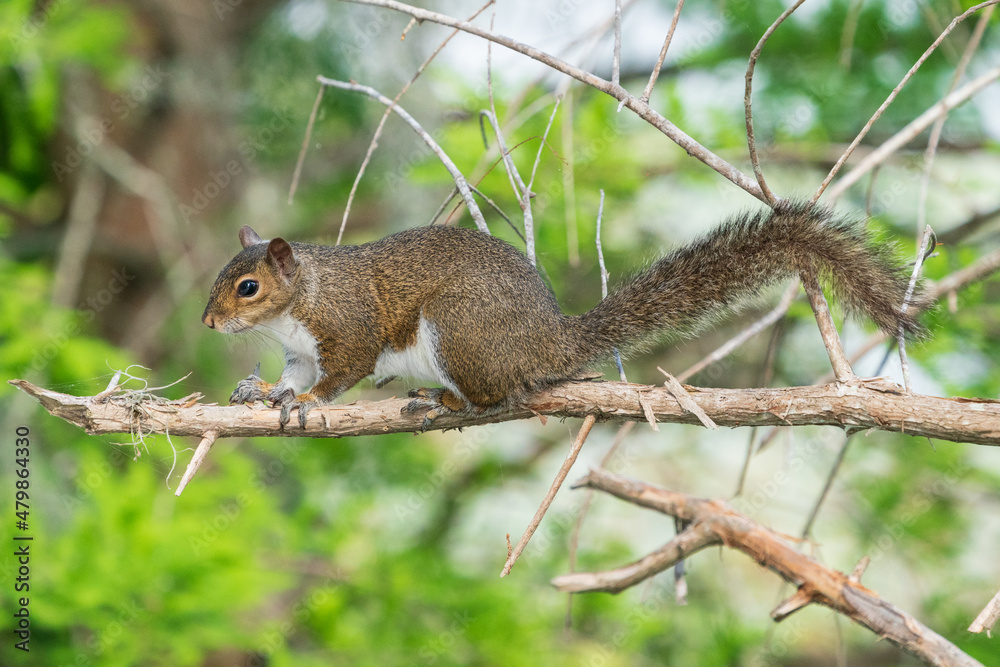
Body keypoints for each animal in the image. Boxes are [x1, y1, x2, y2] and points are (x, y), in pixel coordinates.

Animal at [199, 201, 924, 428]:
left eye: (248, 288)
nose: (207, 325)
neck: (304, 297)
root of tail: (551, 343)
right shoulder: (300, 348)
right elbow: (293, 373)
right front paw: (263, 391)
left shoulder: (348, 328)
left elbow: (340, 373)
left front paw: (306, 403)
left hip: (456, 329)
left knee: (496, 394)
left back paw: (443, 399)